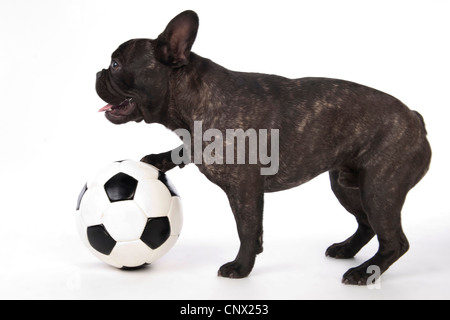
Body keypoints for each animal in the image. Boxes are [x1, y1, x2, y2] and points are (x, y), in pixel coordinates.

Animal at [96, 10, 432, 284]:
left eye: (116, 63)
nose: (98, 73)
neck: (193, 99)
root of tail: (414, 117)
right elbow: (187, 151)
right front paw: (158, 158)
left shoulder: (245, 190)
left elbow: (246, 229)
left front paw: (241, 268)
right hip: (346, 185)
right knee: (366, 224)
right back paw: (347, 249)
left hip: (379, 189)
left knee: (394, 241)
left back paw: (364, 273)